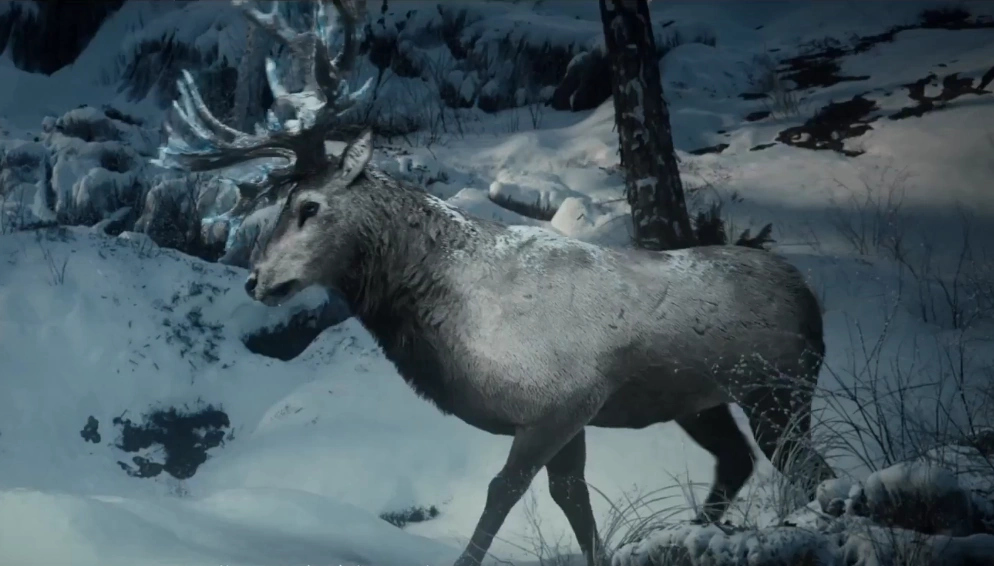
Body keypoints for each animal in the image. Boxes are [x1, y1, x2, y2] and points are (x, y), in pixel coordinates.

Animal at [154, 1, 836, 565]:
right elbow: (572, 500)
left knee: (810, 469)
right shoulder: (569, 417)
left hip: (778, 388)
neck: (455, 316)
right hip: (703, 399)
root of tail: (810, 297)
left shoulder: (560, 404)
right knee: (739, 460)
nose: (257, 279)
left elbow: (505, 489)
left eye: (310, 206)